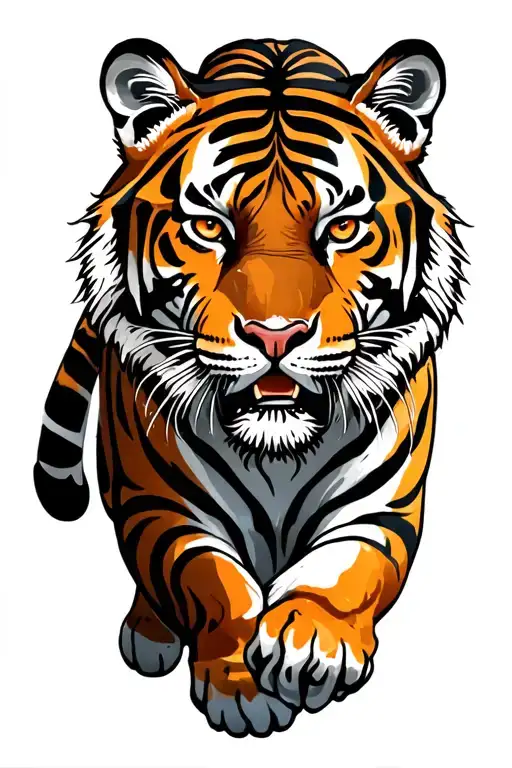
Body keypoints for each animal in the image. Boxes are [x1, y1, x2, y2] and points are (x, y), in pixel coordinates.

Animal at [34, 36, 468, 737]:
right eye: (209, 228)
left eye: (341, 229)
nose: (275, 336)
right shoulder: (165, 507)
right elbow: (214, 582)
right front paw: (241, 687)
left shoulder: (382, 511)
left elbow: (347, 570)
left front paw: (313, 642)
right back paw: (149, 634)